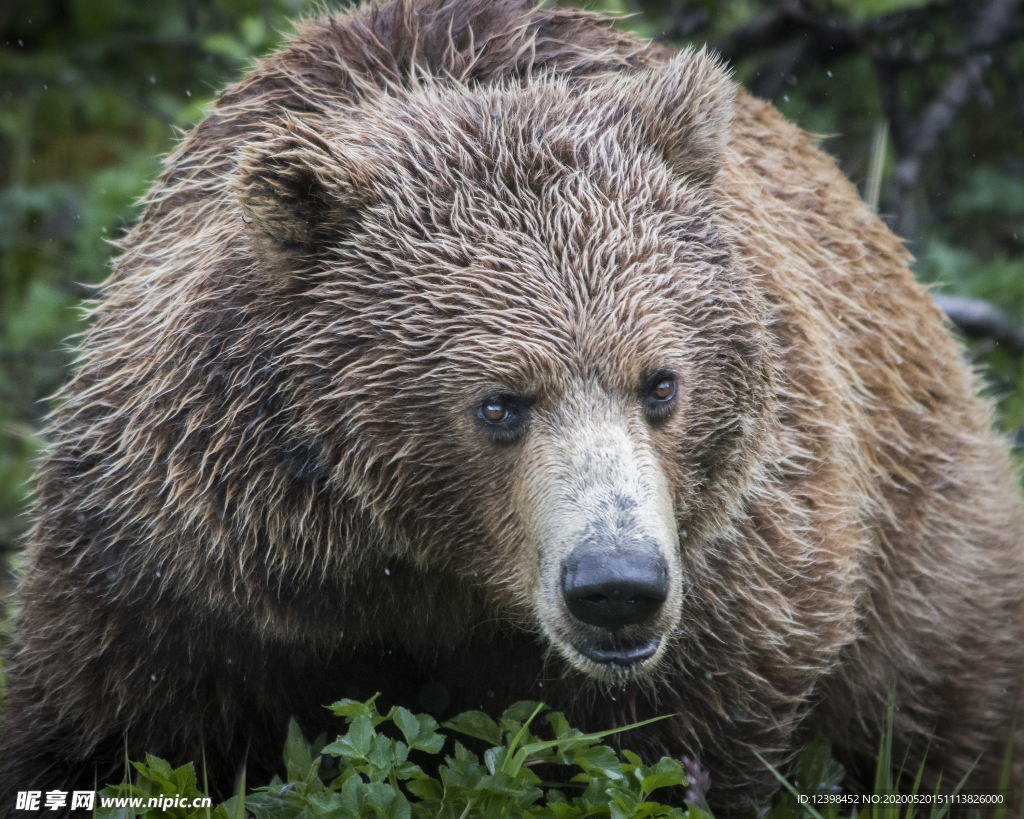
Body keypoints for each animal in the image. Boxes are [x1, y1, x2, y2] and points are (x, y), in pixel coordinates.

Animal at [2, 0, 1024, 814]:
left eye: (661, 382)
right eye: (500, 402)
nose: (617, 585)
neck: (434, 573)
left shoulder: (740, 579)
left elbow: (678, 750)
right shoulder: (187, 564)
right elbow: (107, 724)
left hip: (928, 547)